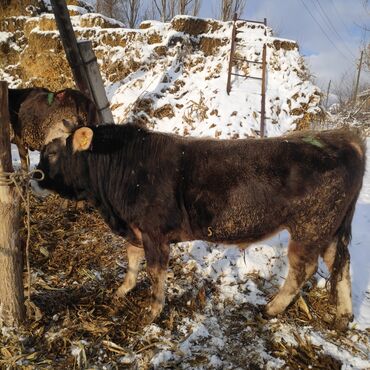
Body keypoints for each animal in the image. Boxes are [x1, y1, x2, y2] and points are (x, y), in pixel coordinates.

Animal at [35, 123, 368, 330]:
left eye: (51, 152)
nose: (33, 177)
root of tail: (343, 136)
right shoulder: (135, 227)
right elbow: (132, 259)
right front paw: (123, 289)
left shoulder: (154, 232)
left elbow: (155, 272)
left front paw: (152, 311)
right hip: (330, 229)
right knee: (340, 263)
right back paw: (343, 317)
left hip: (310, 226)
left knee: (304, 268)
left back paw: (272, 308)